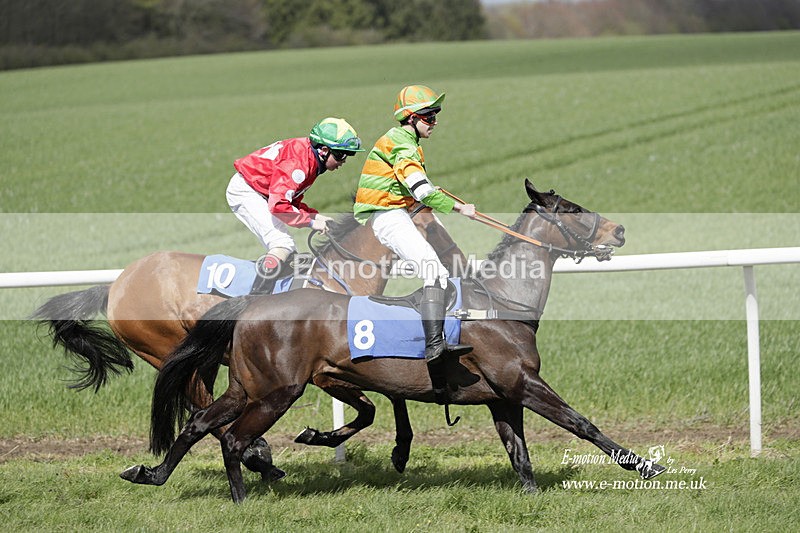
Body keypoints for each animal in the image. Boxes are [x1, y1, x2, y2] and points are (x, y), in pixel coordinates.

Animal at [32, 205, 465, 480]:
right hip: (166, 347)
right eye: (430, 227)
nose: (459, 259)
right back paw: (259, 457)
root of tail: (116, 285)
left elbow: (394, 393)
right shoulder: (326, 372)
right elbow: (378, 401)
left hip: (201, 359)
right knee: (201, 407)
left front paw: (401, 450)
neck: (337, 278)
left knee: (203, 407)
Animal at [121, 179, 665, 503]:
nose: (619, 230)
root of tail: (249, 307)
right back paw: (243, 493)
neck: (500, 301)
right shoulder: (522, 383)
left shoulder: (502, 397)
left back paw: (151, 474)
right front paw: (647, 467)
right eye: (572, 209)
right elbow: (581, 424)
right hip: (277, 391)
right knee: (233, 437)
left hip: (246, 385)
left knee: (199, 423)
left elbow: (520, 454)